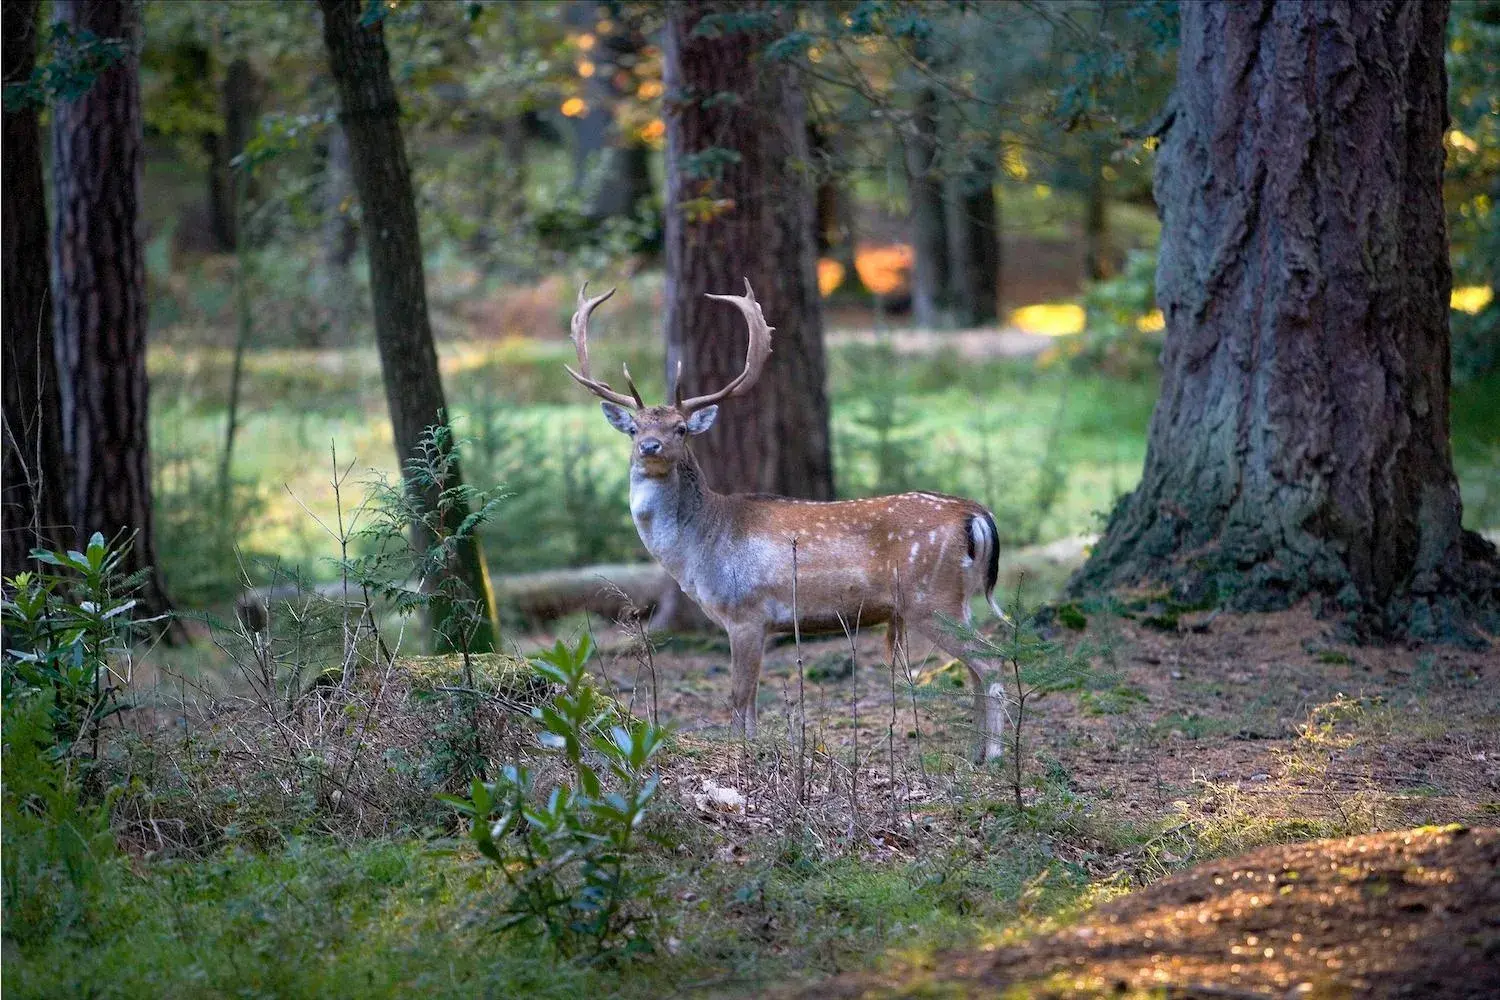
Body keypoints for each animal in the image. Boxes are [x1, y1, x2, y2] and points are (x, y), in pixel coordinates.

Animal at [567, 277, 1014, 761]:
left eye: (680, 429)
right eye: (634, 428)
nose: (650, 447)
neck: (700, 547)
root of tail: (976, 515)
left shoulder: (747, 612)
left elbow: (740, 698)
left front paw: (745, 753)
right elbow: (747, 701)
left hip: (931, 597)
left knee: (991, 660)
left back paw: (993, 755)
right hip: (955, 599)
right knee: (978, 665)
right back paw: (975, 752)